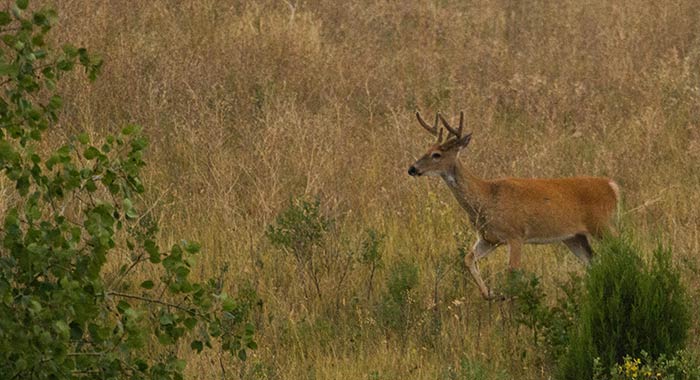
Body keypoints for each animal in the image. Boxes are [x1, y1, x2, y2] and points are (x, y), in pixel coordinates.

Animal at [408, 110, 620, 300]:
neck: (487, 198)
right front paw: (490, 294)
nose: (412, 168)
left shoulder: (516, 234)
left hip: (601, 224)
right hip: (574, 237)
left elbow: (513, 273)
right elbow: (467, 259)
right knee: (593, 261)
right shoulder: (489, 238)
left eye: (436, 155)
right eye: (426, 150)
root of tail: (612, 186)